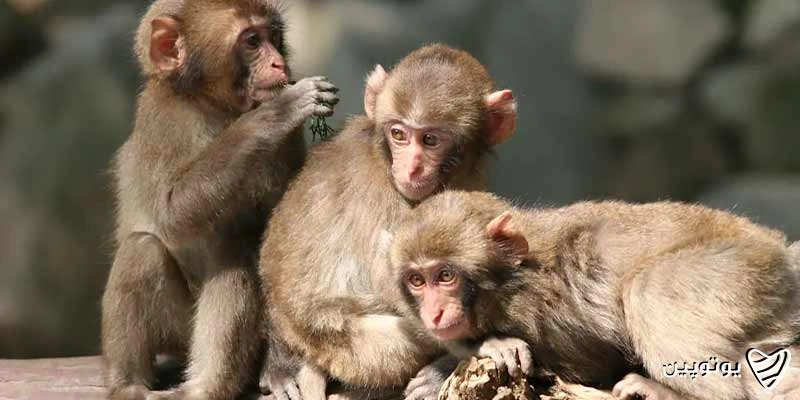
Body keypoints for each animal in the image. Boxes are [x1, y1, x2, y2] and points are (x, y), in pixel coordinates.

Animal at [101, 0, 338, 399]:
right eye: (252, 41)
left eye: (274, 36)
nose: (279, 64)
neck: (214, 107)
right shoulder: (162, 118)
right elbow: (172, 214)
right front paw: (273, 114)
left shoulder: (288, 144)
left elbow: (280, 242)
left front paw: (281, 369)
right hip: (178, 331)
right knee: (143, 250)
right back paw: (133, 384)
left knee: (235, 252)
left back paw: (212, 384)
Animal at [258, 44, 518, 400]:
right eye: (399, 134)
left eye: (431, 140)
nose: (411, 168)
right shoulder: (389, 200)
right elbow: (393, 280)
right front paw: (482, 345)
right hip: (351, 351)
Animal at [387, 190, 800, 400]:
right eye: (417, 281)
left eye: (445, 276)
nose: (434, 314)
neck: (512, 280)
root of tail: (785, 254)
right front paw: (439, 373)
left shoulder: (545, 316)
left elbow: (589, 369)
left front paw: (492, 346)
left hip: (747, 269)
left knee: (650, 290)